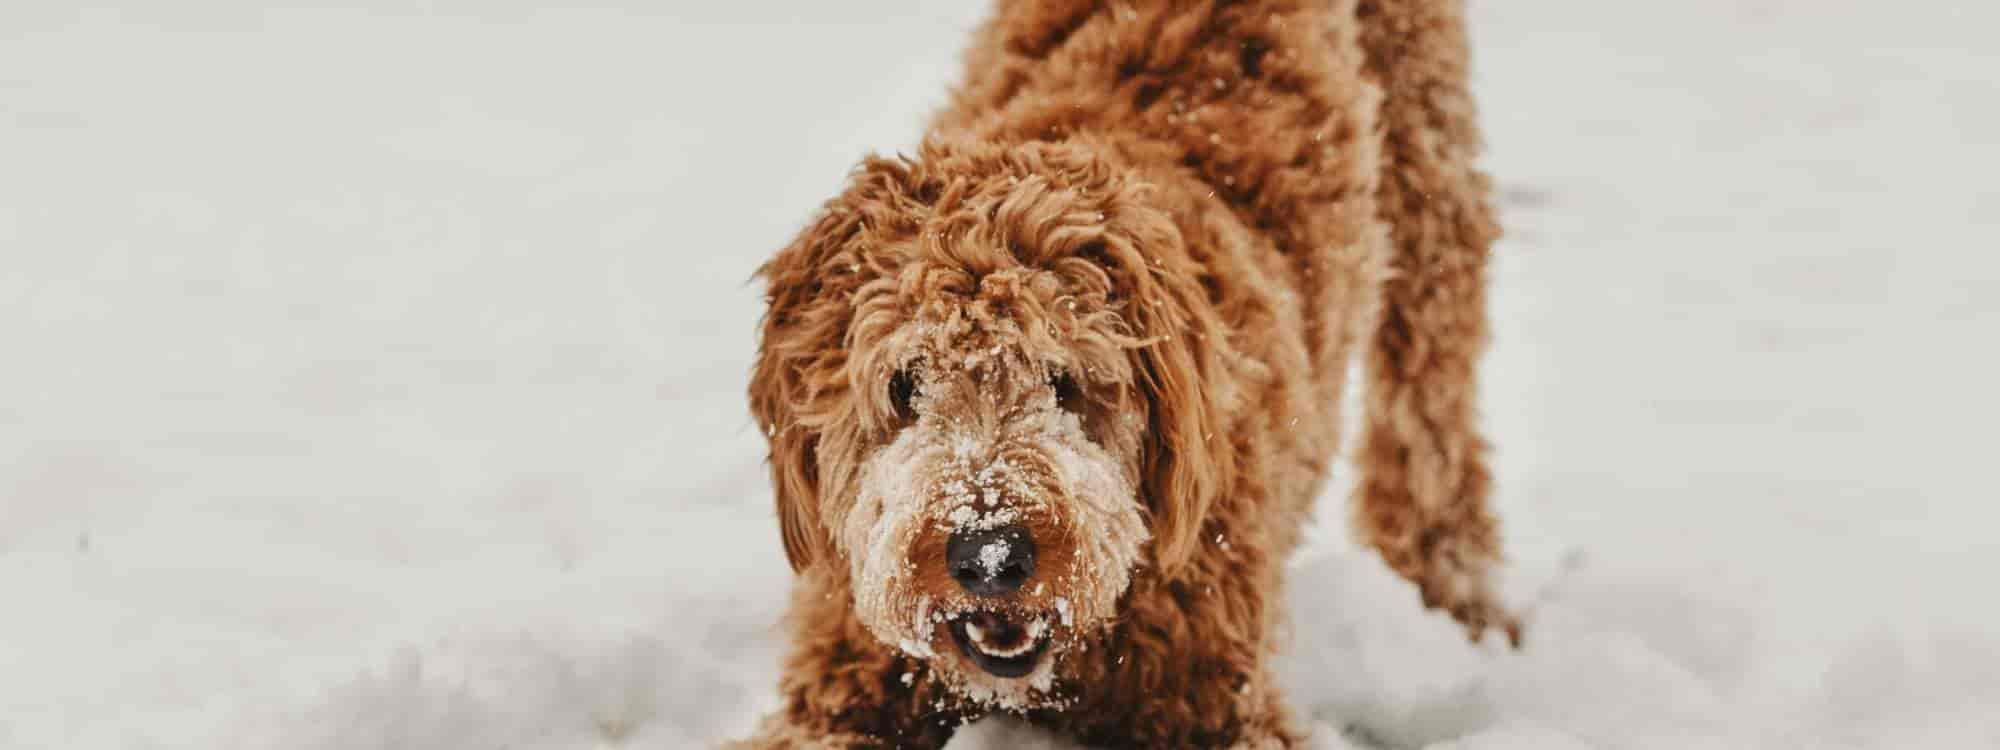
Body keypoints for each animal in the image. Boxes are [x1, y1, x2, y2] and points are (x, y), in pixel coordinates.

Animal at [736, 2, 1512, 748]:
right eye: (904, 384)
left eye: (1064, 379)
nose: (990, 554)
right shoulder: (834, 686)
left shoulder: (1223, 703)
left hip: (1425, 162)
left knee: (1431, 418)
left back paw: (1458, 598)